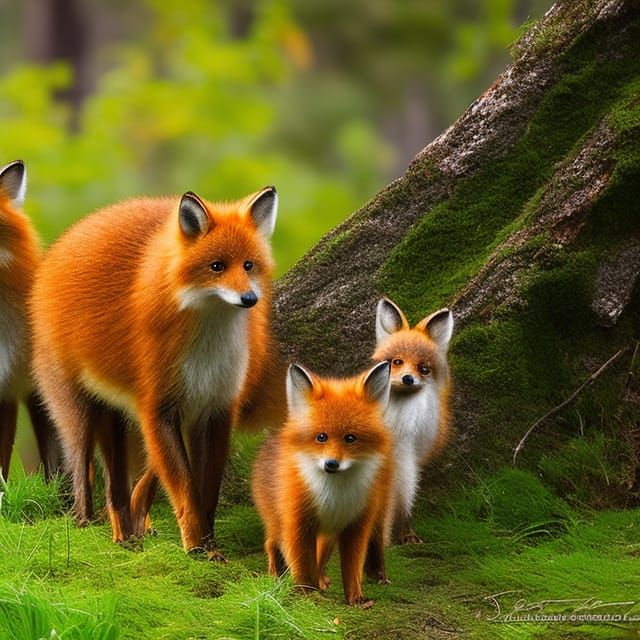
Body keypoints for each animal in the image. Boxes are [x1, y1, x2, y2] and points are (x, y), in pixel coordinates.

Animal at [30, 186, 278, 557]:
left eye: (248, 265)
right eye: (217, 266)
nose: (249, 298)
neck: (207, 352)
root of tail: (66, 239)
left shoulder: (216, 407)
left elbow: (205, 490)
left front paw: (209, 547)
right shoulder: (158, 408)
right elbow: (185, 489)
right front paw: (197, 549)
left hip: (121, 422)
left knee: (118, 488)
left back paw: (128, 534)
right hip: (79, 412)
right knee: (82, 471)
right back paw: (85, 523)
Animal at [252, 361, 393, 607]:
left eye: (350, 438)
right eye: (321, 437)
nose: (331, 464)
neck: (336, 497)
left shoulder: (356, 526)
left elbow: (352, 568)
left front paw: (356, 599)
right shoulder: (297, 524)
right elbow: (302, 566)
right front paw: (307, 596)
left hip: (328, 536)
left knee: (319, 557)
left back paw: (322, 581)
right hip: (278, 523)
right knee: (271, 544)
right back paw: (275, 576)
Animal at [372, 297, 454, 544]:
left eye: (424, 368)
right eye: (396, 362)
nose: (408, 379)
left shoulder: (407, 458)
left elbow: (403, 500)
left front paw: (405, 534)